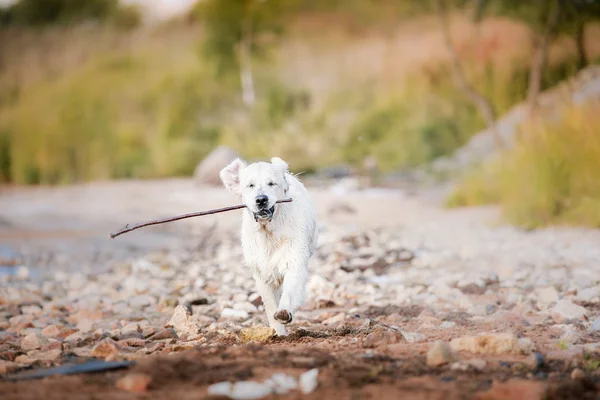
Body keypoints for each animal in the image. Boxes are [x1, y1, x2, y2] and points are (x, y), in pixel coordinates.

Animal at [220, 158, 318, 336]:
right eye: (250, 185)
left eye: (272, 183)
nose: (261, 200)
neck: (268, 233)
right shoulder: (262, 273)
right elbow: (270, 303)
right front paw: (279, 333)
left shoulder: (294, 260)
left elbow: (290, 289)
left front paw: (284, 312)